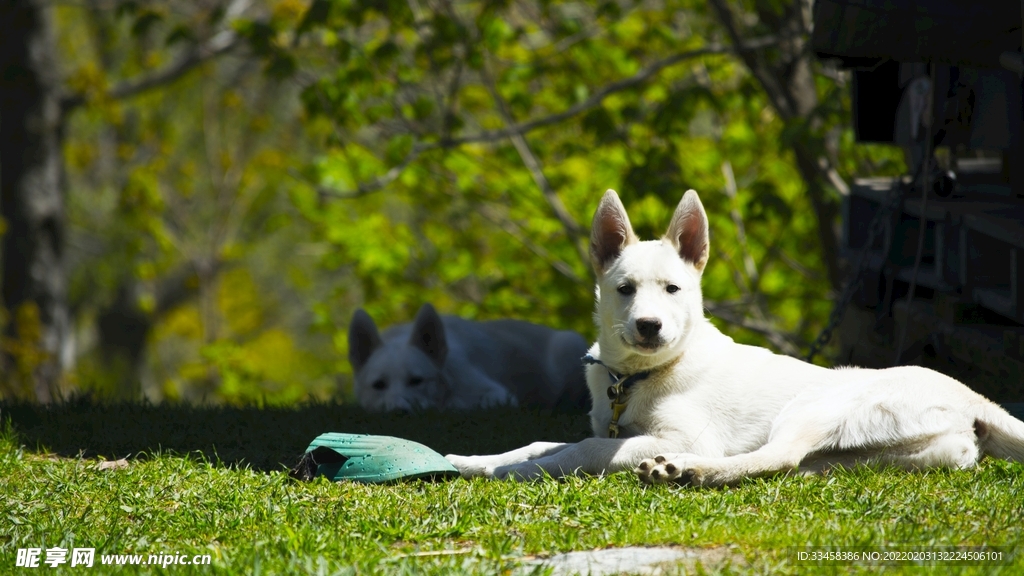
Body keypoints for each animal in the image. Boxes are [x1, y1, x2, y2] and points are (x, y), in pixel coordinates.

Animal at [444, 188, 1024, 483]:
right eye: (625, 289)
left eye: (673, 289)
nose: (649, 326)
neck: (640, 378)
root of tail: (974, 399)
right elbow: (542, 441)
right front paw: (476, 462)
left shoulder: (682, 433)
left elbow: (580, 449)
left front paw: (518, 472)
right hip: (878, 453)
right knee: (793, 465)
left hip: (816, 404)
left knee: (776, 457)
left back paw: (684, 470)